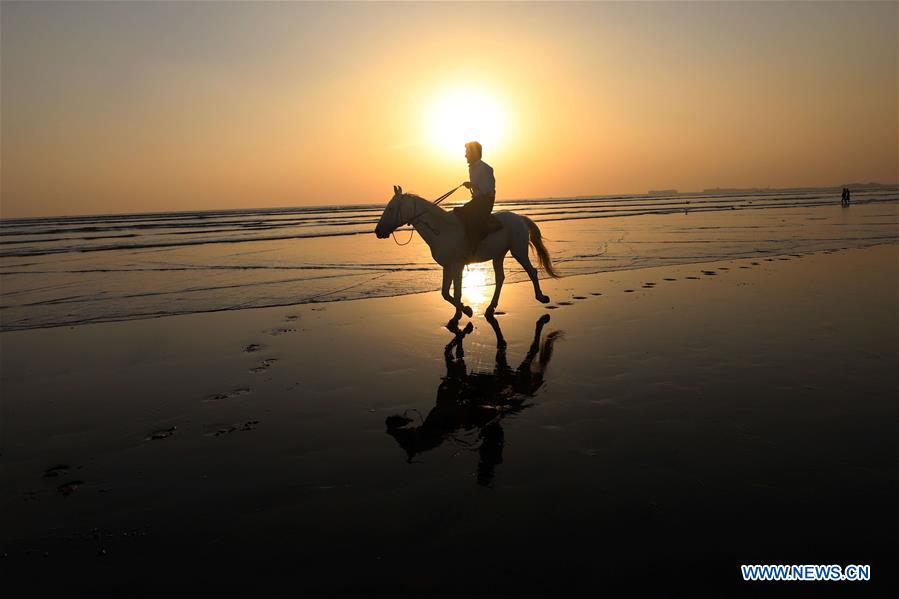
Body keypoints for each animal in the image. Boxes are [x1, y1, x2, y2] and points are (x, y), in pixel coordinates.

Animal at [374, 185, 560, 322]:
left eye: (391, 208)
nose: (378, 231)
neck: (442, 230)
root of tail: (520, 218)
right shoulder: (447, 266)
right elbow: (445, 293)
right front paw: (465, 310)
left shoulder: (457, 265)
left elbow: (456, 292)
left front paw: (460, 314)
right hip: (498, 255)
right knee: (500, 278)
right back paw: (490, 308)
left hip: (519, 251)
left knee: (532, 271)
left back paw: (541, 297)